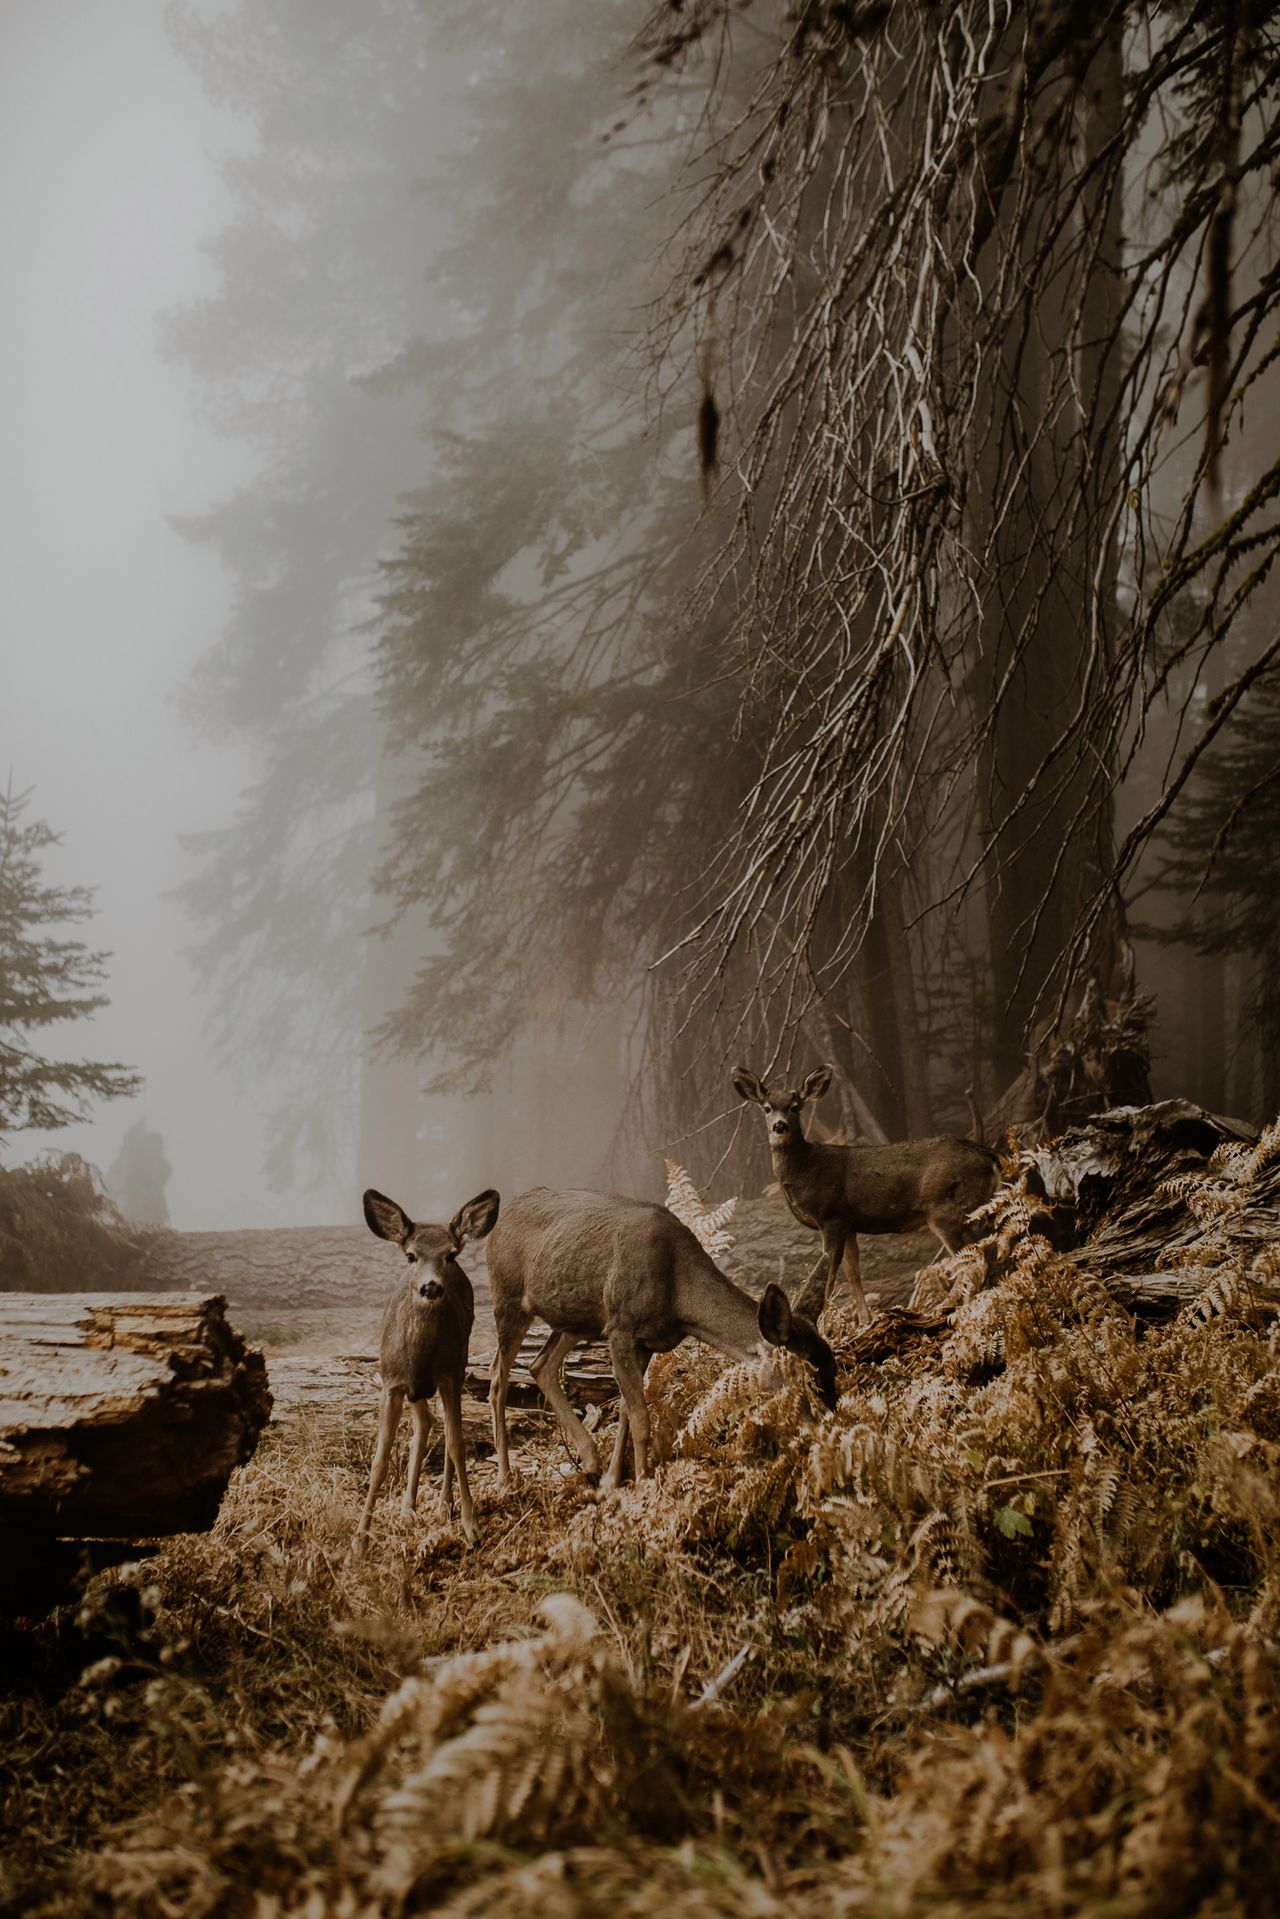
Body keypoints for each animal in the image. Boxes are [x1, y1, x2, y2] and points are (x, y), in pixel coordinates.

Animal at [360, 1174, 506, 1550]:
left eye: (450, 1255)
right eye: (411, 1255)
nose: (430, 1287)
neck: (419, 1359)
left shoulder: (448, 1375)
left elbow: (456, 1445)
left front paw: (471, 1526)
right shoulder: (391, 1382)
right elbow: (379, 1459)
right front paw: (359, 1541)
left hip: (461, 1359)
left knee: (444, 1429)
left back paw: (443, 1504)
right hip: (416, 1390)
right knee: (424, 1424)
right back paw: (408, 1506)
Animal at [483, 1189, 840, 1489]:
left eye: (834, 1367)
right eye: (802, 1375)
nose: (831, 1424)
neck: (680, 1300)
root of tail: (497, 1224)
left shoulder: (646, 1342)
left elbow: (627, 1410)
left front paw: (613, 1480)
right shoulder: (620, 1328)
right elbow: (640, 1416)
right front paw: (642, 1483)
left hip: (574, 1321)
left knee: (541, 1365)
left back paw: (590, 1462)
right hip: (507, 1297)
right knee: (498, 1377)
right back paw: (504, 1476)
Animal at [729, 1059, 997, 1327]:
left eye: (795, 1107)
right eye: (766, 1108)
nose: (779, 1126)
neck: (804, 1170)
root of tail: (990, 1155)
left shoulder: (831, 1217)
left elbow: (828, 1275)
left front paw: (825, 1324)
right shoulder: (848, 1223)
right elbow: (852, 1272)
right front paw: (864, 1320)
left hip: (946, 1209)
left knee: (970, 1258)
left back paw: (956, 1308)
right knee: (987, 1249)